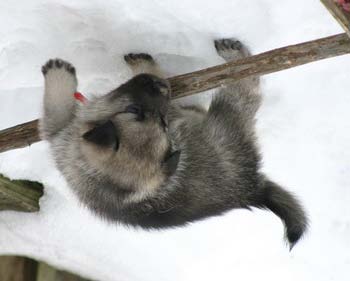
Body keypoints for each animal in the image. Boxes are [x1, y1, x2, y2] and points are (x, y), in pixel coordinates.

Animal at [41, 38, 308, 246]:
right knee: (244, 88)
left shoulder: (60, 131)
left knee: (244, 86)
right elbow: (57, 110)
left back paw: (233, 55)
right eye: (135, 110)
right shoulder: (59, 134)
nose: (162, 86)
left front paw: (59, 75)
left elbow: (57, 107)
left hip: (226, 115)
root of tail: (252, 189)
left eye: (161, 122)